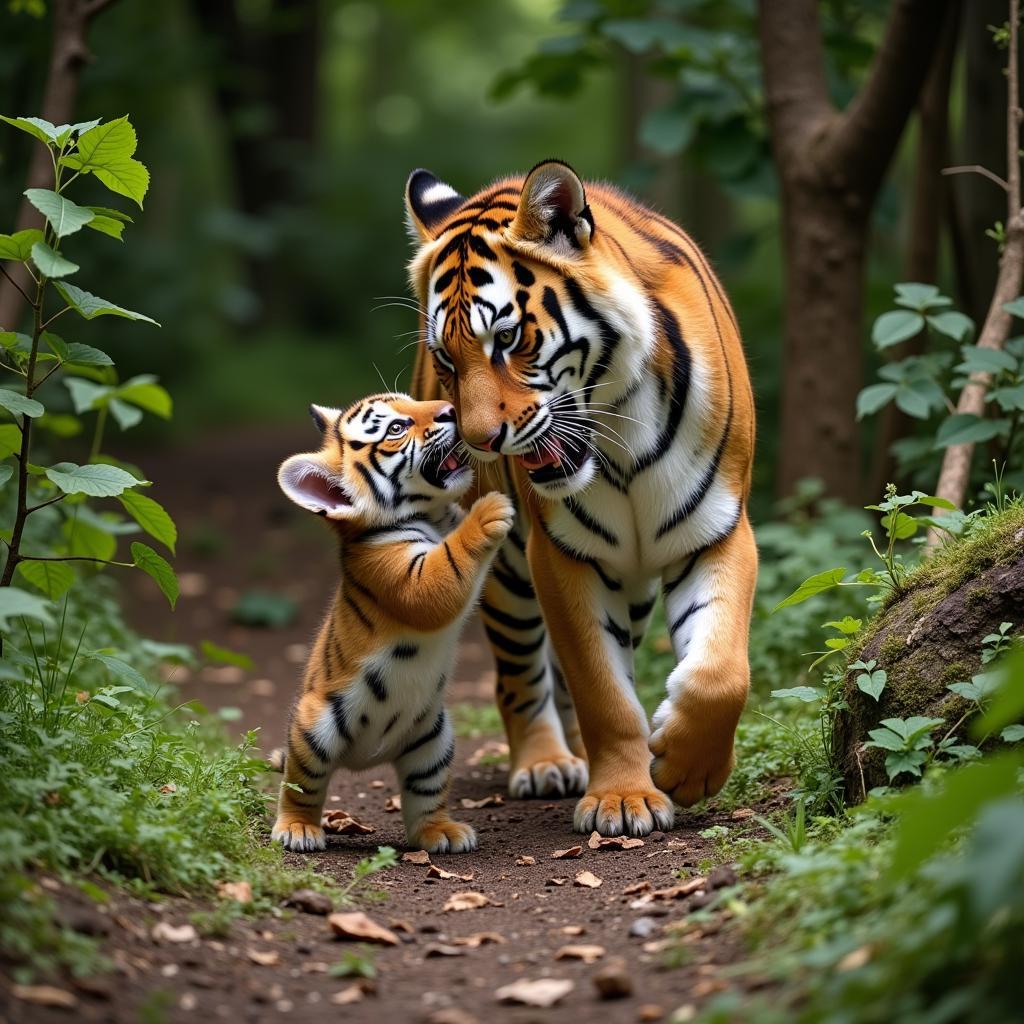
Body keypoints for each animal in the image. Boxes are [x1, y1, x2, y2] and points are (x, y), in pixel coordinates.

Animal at [403, 157, 757, 831]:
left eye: (507, 339)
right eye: (447, 358)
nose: (479, 442)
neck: (620, 431)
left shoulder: (717, 529)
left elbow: (719, 672)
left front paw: (686, 768)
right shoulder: (560, 555)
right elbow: (602, 690)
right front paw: (623, 797)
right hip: (505, 567)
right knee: (519, 676)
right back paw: (545, 762)